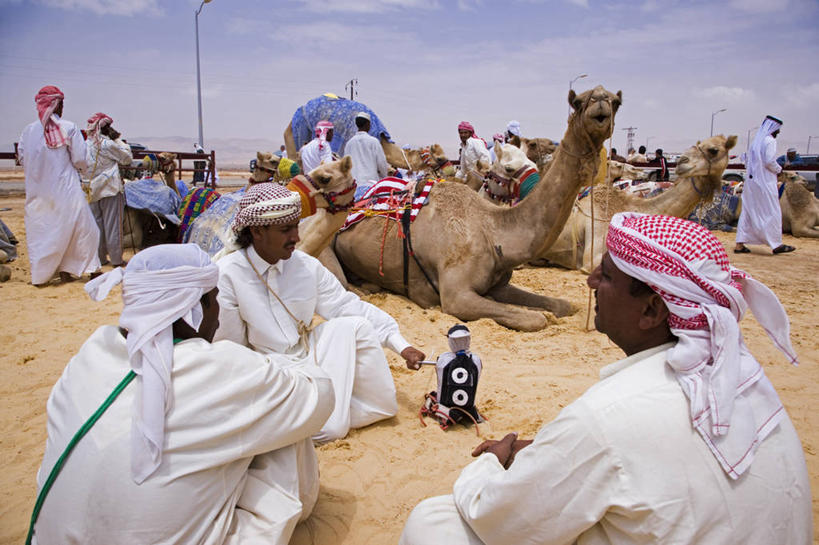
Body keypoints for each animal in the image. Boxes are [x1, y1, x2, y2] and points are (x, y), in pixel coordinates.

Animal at [330, 86, 624, 332]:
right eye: (578, 101)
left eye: (616, 101)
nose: (601, 101)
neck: (492, 231)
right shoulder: (456, 296)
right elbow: (535, 319)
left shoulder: (499, 284)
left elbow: (563, 305)